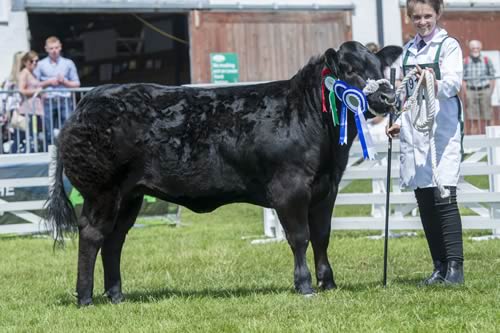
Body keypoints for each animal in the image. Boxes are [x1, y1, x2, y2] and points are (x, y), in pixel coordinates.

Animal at [46, 40, 398, 304]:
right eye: (350, 69)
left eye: (380, 68)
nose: (388, 96)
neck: (311, 116)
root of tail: (89, 101)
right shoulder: (290, 188)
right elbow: (300, 237)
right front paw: (305, 285)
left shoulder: (327, 188)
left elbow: (322, 236)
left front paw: (329, 283)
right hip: (102, 191)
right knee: (92, 235)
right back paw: (85, 297)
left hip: (129, 196)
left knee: (115, 239)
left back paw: (116, 295)